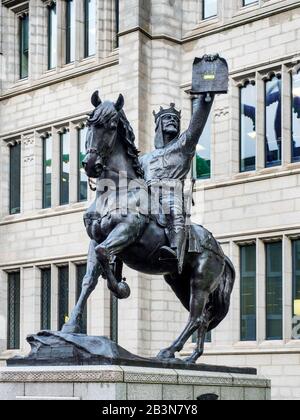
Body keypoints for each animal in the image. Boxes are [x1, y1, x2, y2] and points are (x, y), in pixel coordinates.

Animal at [62, 92, 236, 364]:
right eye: (90, 124)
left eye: (111, 125)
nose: (91, 164)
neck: (116, 190)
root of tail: (220, 251)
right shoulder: (94, 239)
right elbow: (89, 279)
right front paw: (69, 328)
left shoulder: (126, 231)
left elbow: (104, 254)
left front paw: (121, 288)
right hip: (178, 282)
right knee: (204, 318)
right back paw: (191, 358)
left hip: (200, 280)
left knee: (196, 316)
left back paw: (169, 351)